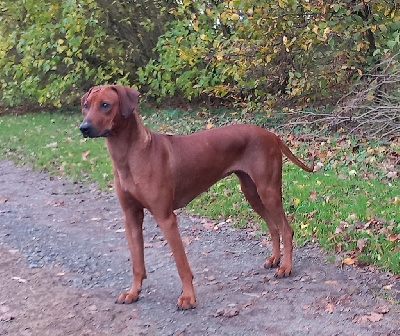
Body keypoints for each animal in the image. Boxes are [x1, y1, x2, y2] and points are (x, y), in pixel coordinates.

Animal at [79, 84, 314, 310]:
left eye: (105, 105)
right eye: (86, 105)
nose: (83, 128)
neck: (130, 155)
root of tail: (272, 135)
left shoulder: (166, 218)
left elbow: (181, 264)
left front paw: (188, 298)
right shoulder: (131, 217)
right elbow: (137, 263)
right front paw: (133, 292)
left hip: (268, 190)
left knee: (286, 229)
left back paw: (286, 267)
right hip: (251, 192)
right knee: (273, 226)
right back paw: (275, 259)